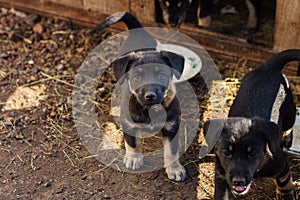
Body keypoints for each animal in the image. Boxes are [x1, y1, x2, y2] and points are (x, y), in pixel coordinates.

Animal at [91, 12, 188, 181]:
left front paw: (174, 169)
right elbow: (133, 143)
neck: (150, 110)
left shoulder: (172, 126)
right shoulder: (128, 123)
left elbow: (171, 151)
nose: (150, 96)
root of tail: (138, 30)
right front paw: (133, 159)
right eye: (136, 77)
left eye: (162, 76)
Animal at [204, 48, 300, 200]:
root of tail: (269, 67)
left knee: (289, 126)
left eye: (253, 153)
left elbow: (284, 179)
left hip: (289, 111)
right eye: (226, 152)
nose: (238, 182)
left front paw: (285, 194)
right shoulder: (221, 175)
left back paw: (286, 140)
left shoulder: (280, 164)